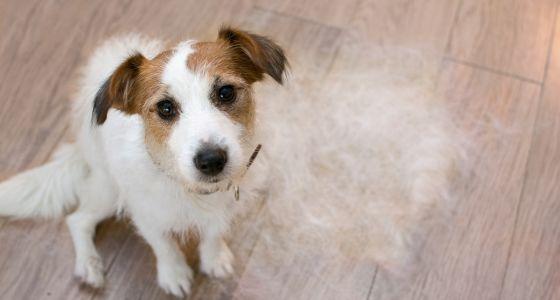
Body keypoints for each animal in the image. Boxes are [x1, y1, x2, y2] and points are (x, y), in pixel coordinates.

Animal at [0, 27, 286, 298]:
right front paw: (174, 274)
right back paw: (89, 265)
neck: (187, 185)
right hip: (109, 191)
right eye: (165, 108)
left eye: (226, 92)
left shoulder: (223, 207)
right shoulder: (145, 213)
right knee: (77, 219)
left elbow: (213, 233)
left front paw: (214, 258)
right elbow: (164, 245)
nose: (211, 160)